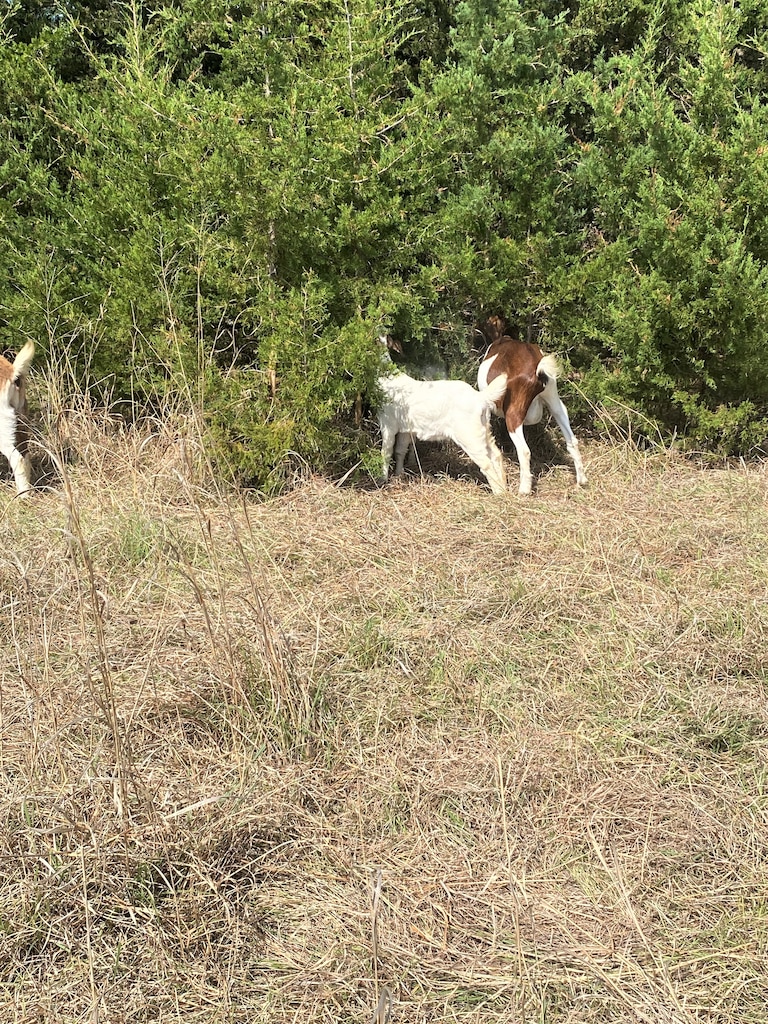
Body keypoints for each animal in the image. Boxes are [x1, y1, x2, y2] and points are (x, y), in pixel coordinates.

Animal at [377, 336, 508, 494]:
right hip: (484, 429)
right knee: (496, 454)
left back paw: (498, 493)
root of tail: (480, 397)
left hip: (469, 435)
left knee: (486, 462)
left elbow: (386, 452)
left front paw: (382, 479)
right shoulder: (405, 429)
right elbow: (400, 450)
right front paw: (398, 474)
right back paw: (504, 488)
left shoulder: (387, 424)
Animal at [477, 316, 586, 495]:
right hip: (555, 401)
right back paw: (581, 480)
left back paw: (524, 489)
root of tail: (537, 370)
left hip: (513, 413)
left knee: (524, 450)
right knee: (572, 440)